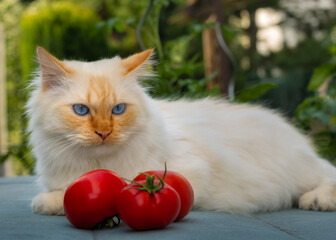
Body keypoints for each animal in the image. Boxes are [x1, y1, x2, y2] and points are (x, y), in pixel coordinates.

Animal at [27, 47, 336, 216]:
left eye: (118, 109)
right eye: (81, 110)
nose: (104, 133)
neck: (94, 162)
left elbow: (84, 193)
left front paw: (48, 202)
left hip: (301, 170)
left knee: (327, 173)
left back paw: (317, 200)